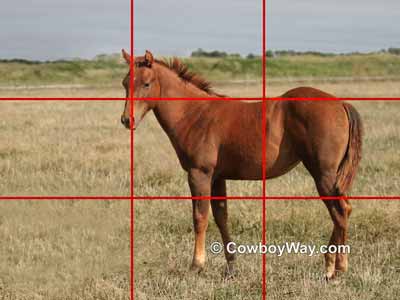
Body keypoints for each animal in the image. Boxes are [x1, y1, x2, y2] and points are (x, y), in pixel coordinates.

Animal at [121, 48, 362, 280]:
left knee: (340, 211)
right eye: (125, 83)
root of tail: (341, 103)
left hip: (323, 174)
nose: (126, 120)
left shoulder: (199, 174)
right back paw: (336, 265)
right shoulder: (217, 177)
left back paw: (334, 269)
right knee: (345, 210)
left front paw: (196, 265)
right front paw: (231, 267)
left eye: (146, 83)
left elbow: (200, 217)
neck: (195, 115)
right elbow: (221, 217)